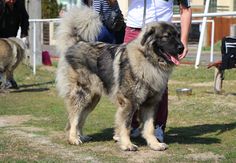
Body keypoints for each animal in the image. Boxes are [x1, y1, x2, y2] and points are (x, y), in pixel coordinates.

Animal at [55, 6, 184, 152]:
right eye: (166, 36)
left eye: (178, 36)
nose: (181, 48)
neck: (148, 60)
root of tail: (77, 43)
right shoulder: (129, 102)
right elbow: (126, 125)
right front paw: (127, 144)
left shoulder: (150, 103)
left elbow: (149, 127)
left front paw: (154, 144)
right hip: (82, 94)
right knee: (74, 117)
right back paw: (73, 139)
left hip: (93, 98)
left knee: (81, 117)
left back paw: (81, 136)